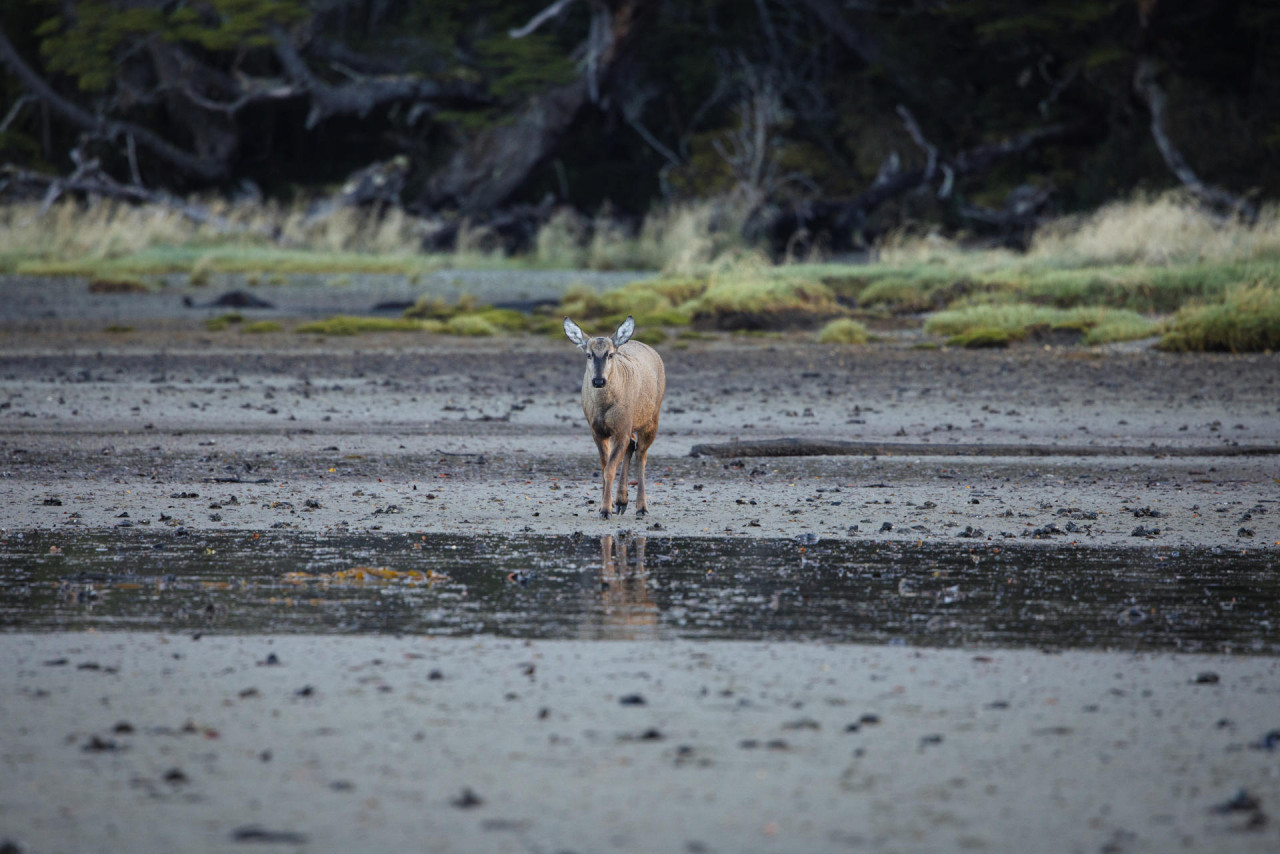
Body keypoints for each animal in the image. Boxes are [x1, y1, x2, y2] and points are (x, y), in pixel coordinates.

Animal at [563, 316, 665, 522]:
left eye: (610, 354)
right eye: (588, 355)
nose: (598, 381)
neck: (604, 408)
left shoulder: (621, 428)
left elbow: (610, 468)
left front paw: (605, 510)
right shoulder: (597, 431)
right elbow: (604, 467)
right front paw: (607, 505)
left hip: (652, 418)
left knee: (642, 454)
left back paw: (641, 507)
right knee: (632, 446)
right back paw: (621, 502)